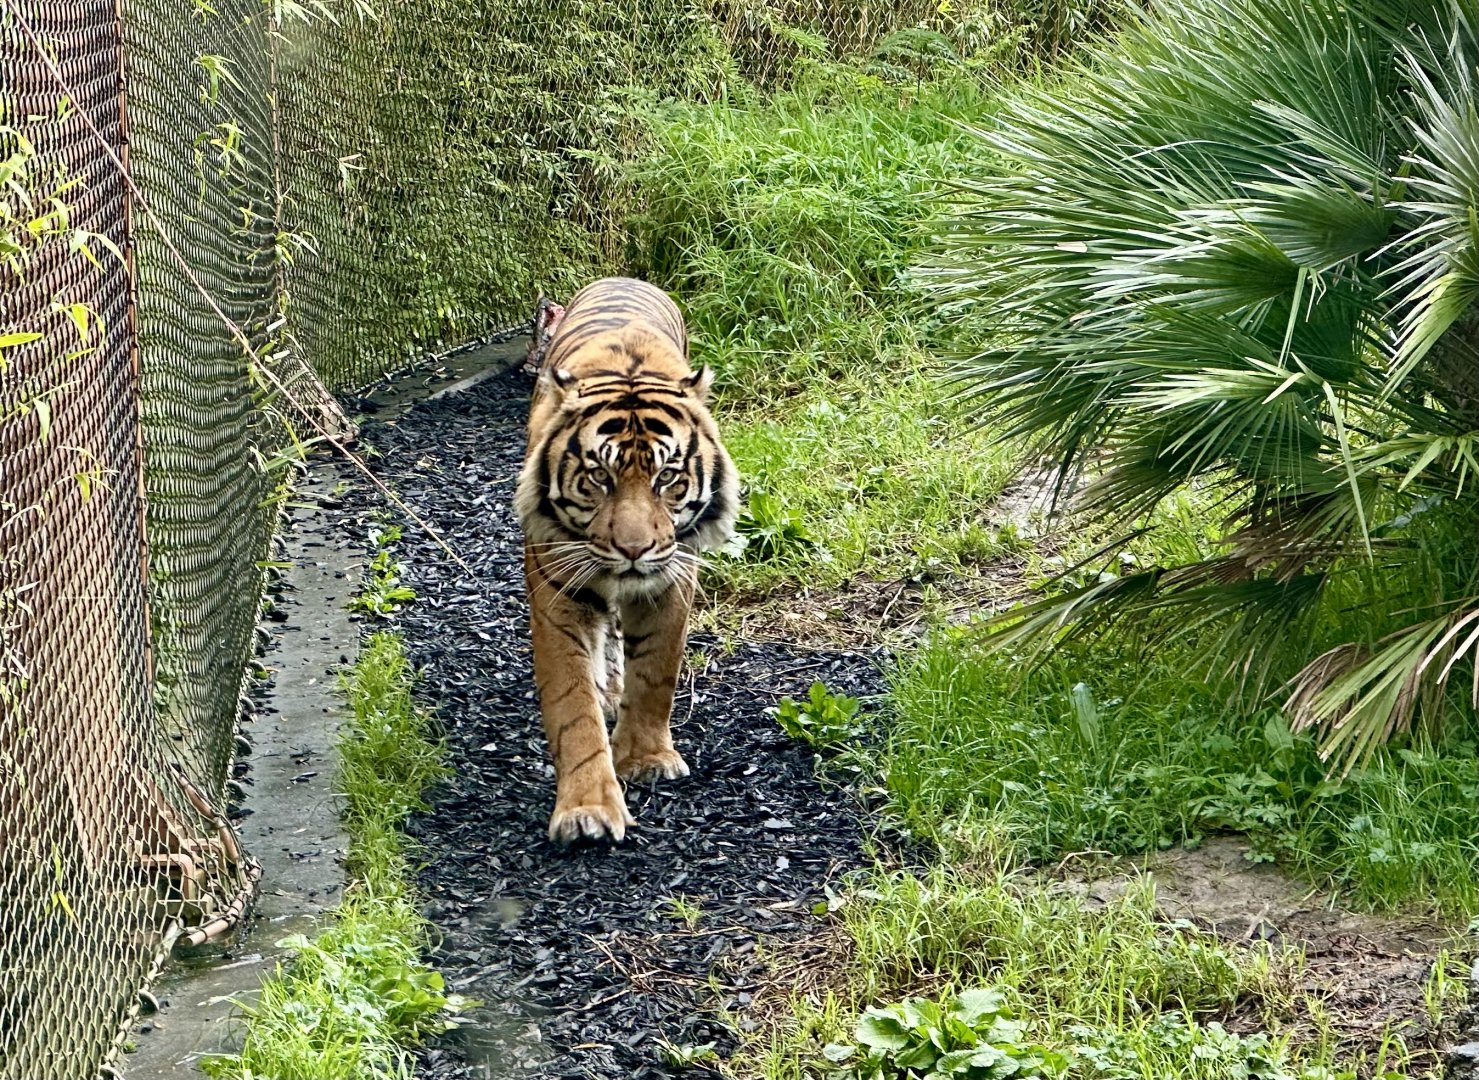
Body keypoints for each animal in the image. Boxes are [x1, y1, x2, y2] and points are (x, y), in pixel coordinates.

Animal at [514, 277, 738, 844]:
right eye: (600, 477)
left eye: (667, 478)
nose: (633, 550)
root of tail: (622, 277)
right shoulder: (558, 595)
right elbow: (572, 705)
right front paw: (587, 809)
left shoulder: (670, 579)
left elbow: (656, 670)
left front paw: (645, 759)